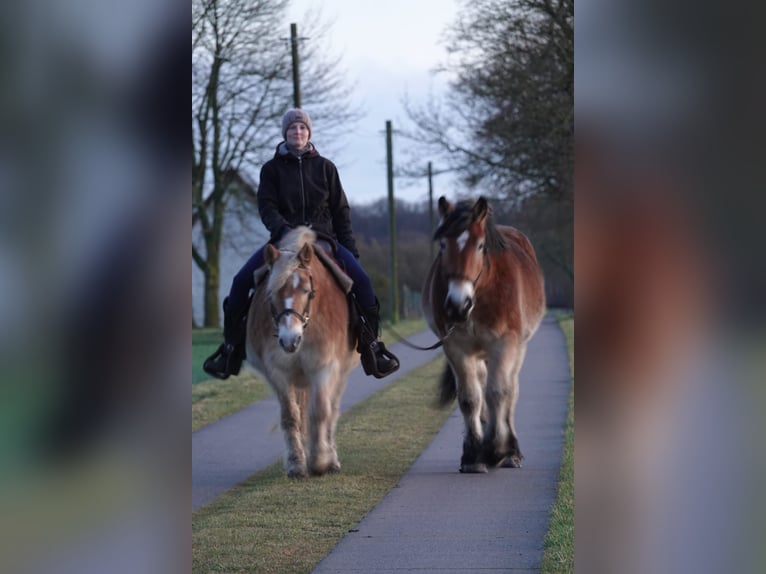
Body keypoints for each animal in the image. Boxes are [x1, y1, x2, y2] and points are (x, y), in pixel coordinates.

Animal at [246, 227, 360, 480]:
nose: (290, 340)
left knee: (331, 410)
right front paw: (297, 464)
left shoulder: (324, 367)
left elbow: (321, 412)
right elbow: (291, 416)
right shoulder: (278, 372)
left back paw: (331, 458)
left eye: (307, 291)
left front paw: (320, 461)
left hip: (339, 374)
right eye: (271, 293)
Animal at [426, 196, 544, 474]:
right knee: (481, 386)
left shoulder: (504, 344)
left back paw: (510, 452)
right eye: (443, 245)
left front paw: (497, 450)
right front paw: (473, 454)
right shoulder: (456, 347)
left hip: (516, 348)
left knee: (509, 390)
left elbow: (498, 393)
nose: (457, 306)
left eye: (480, 246)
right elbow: (470, 398)